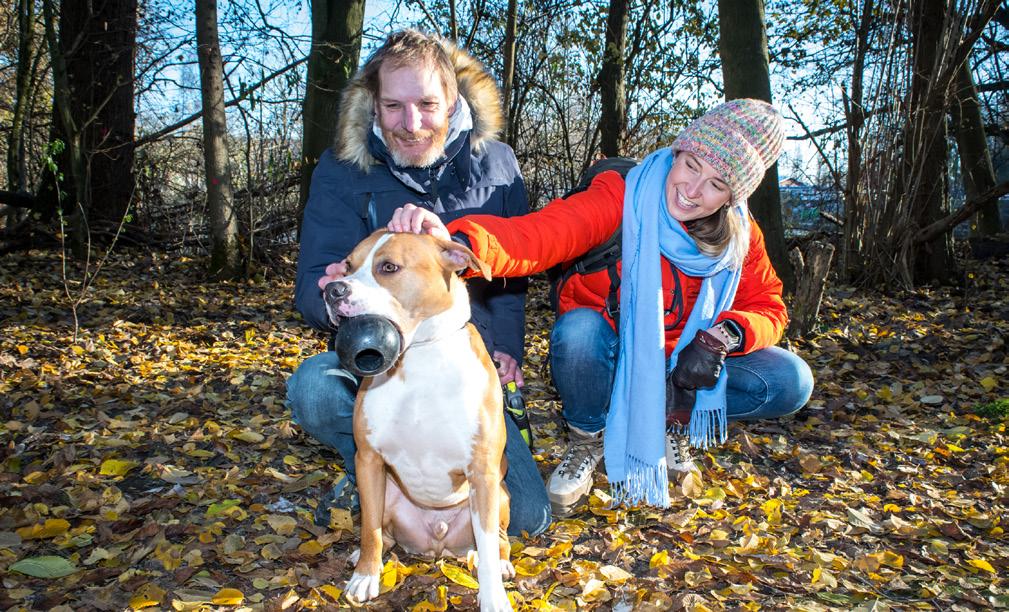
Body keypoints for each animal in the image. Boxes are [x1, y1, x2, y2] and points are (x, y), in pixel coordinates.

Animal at [322, 230, 515, 611]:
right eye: (347, 266)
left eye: (388, 267)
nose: (333, 290)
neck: (419, 357)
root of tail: (436, 544)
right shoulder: (368, 460)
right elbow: (370, 530)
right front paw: (366, 575)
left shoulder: (482, 472)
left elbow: (486, 545)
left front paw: (493, 598)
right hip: (387, 494)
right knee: (380, 531)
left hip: (500, 497)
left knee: (498, 539)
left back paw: (501, 563)